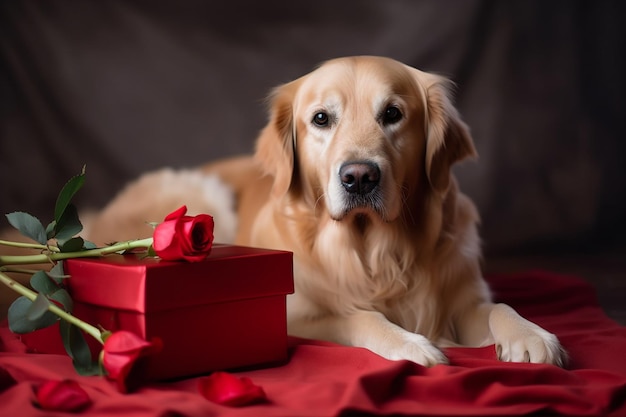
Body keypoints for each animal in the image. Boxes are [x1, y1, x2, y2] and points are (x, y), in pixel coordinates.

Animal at [84, 56, 564, 368]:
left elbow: (500, 307)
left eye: (393, 114)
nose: (359, 177)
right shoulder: (296, 316)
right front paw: (413, 345)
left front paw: (533, 336)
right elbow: (359, 316)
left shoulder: (463, 300)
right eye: (320, 119)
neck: (379, 252)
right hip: (202, 190)